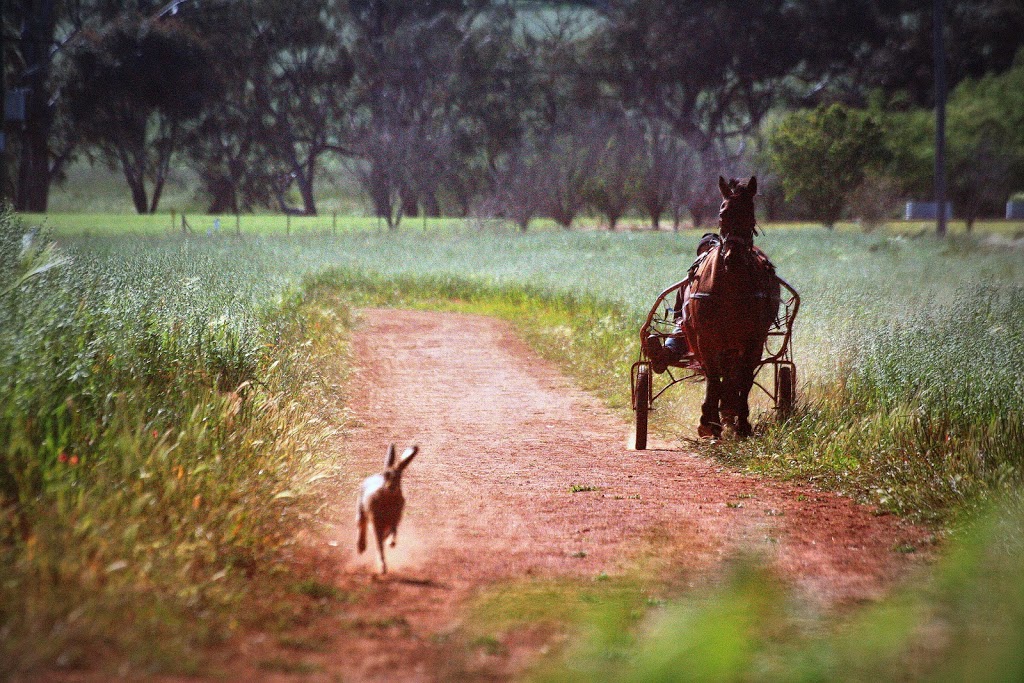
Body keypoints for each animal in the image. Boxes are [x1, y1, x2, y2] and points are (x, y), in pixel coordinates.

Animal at [684, 176, 778, 438]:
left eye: (751, 213)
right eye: (722, 213)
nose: (733, 257)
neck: (731, 286)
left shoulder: (753, 339)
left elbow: (743, 378)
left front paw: (742, 422)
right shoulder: (706, 338)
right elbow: (713, 377)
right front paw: (709, 423)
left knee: (733, 375)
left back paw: (729, 411)